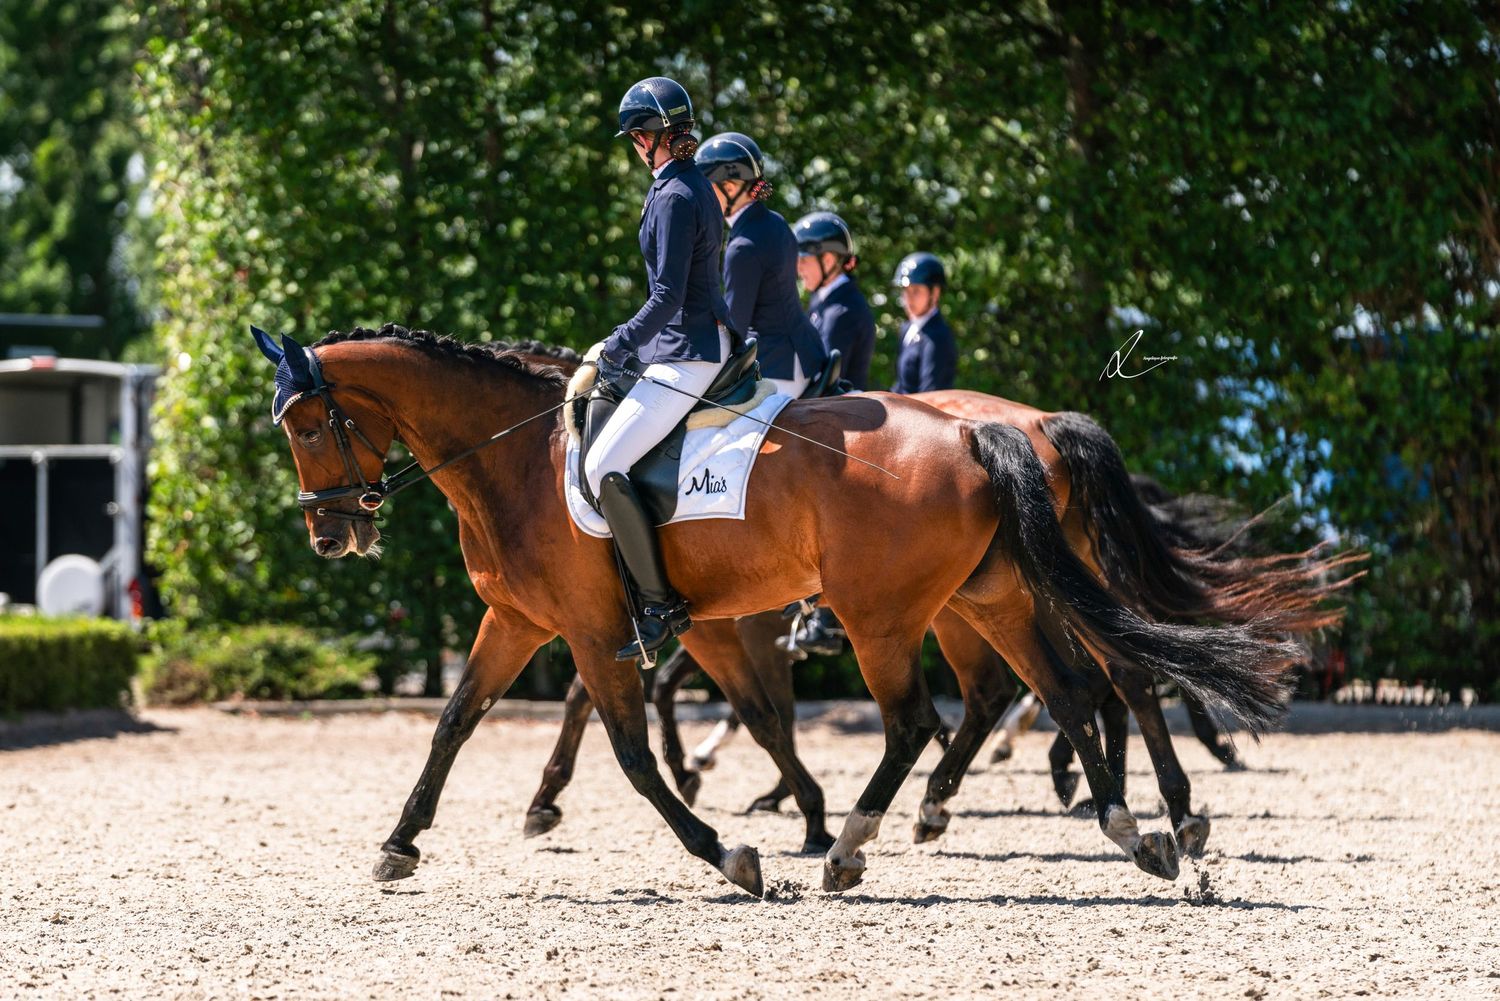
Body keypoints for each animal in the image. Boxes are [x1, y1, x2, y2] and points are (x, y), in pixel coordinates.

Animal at [259, 322, 1300, 896]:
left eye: (307, 425)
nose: (329, 534)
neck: (514, 457)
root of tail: (985, 429)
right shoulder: (522, 622)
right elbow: (454, 721)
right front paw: (399, 843)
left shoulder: (604, 631)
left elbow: (640, 752)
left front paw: (736, 850)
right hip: (993, 597)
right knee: (1075, 689)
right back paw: (1136, 829)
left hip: (889, 616)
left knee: (934, 714)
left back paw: (858, 845)